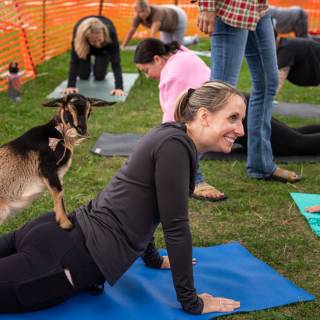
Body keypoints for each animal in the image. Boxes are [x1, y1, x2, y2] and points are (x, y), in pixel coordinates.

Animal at [0, 94, 113, 229]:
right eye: (67, 109)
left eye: (89, 110)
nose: (82, 129)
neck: (58, 134)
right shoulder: (47, 168)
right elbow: (59, 193)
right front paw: (66, 224)